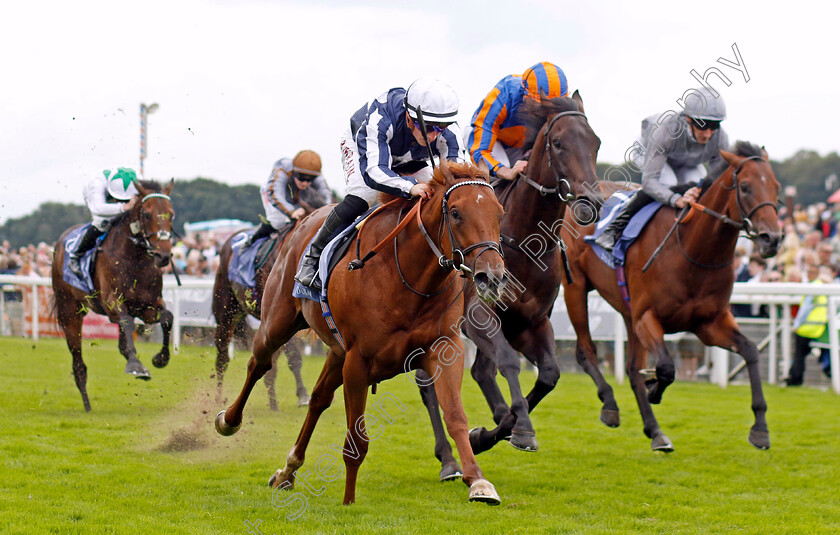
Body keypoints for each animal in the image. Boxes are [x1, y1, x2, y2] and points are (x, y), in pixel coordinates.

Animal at [51, 179, 176, 410]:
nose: (163, 255)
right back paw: (87, 404)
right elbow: (127, 323)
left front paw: (160, 359)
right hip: (70, 311)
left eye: (171, 214)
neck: (134, 259)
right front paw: (137, 365)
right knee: (78, 362)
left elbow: (167, 318)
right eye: (146, 214)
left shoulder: (148, 305)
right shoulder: (112, 303)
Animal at [420, 91, 604, 468]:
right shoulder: (476, 316)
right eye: (558, 143)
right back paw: (447, 458)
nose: (590, 202)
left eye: (595, 142)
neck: (526, 241)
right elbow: (507, 362)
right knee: (429, 384)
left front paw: (498, 431)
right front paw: (515, 427)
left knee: (480, 372)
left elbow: (548, 374)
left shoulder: (530, 323)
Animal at [560, 142, 784, 452]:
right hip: (576, 288)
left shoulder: (708, 324)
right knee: (585, 351)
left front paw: (760, 429)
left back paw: (655, 431)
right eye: (746, 187)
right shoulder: (647, 317)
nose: (771, 239)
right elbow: (666, 368)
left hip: (626, 310)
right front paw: (654, 387)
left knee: (631, 368)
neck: (693, 251)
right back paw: (610, 405)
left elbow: (750, 350)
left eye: (776, 186)